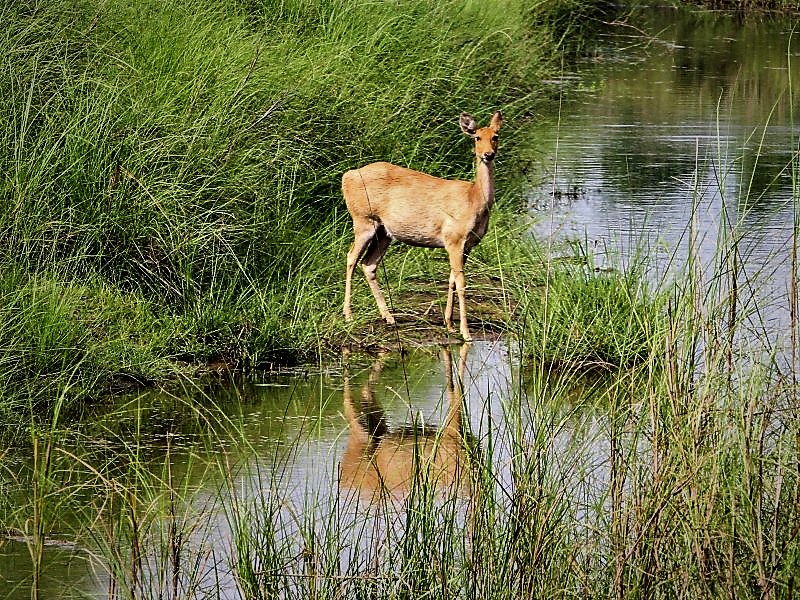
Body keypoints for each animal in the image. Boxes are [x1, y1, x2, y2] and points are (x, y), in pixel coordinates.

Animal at [342, 109, 504, 340]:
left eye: (495, 136)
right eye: (477, 137)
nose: (488, 155)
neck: (474, 200)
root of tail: (347, 176)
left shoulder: (467, 245)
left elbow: (452, 279)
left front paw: (449, 324)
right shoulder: (454, 238)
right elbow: (461, 282)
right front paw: (465, 333)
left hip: (384, 232)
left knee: (368, 264)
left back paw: (388, 317)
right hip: (363, 219)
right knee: (351, 258)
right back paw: (349, 315)